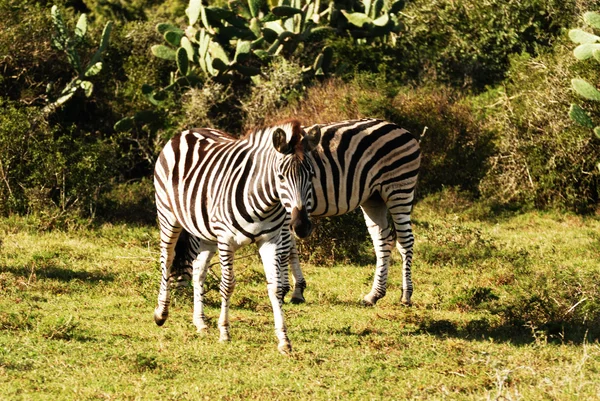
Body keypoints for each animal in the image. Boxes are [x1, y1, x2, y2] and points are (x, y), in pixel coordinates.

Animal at [156, 119, 324, 354]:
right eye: (281, 177)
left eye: (311, 176)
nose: (301, 226)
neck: (264, 201)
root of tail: (188, 131)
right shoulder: (226, 240)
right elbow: (228, 285)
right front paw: (225, 332)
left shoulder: (270, 240)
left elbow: (275, 288)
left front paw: (284, 339)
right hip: (168, 216)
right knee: (167, 259)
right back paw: (161, 312)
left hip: (205, 232)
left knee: (198, 271)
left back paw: (200, 322)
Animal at [171, 119, 420, 306]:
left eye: (180, 253)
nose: (177, 295)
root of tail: (402, 129)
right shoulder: (287, 214)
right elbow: (290, 248)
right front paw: (296, 290)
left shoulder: (284, 214)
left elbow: (284, 250)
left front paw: (285, 289)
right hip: (373, 198)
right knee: (383, 241)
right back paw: (374, 295)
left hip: (398, 189)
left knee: (405, 241)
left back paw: (406, 295)